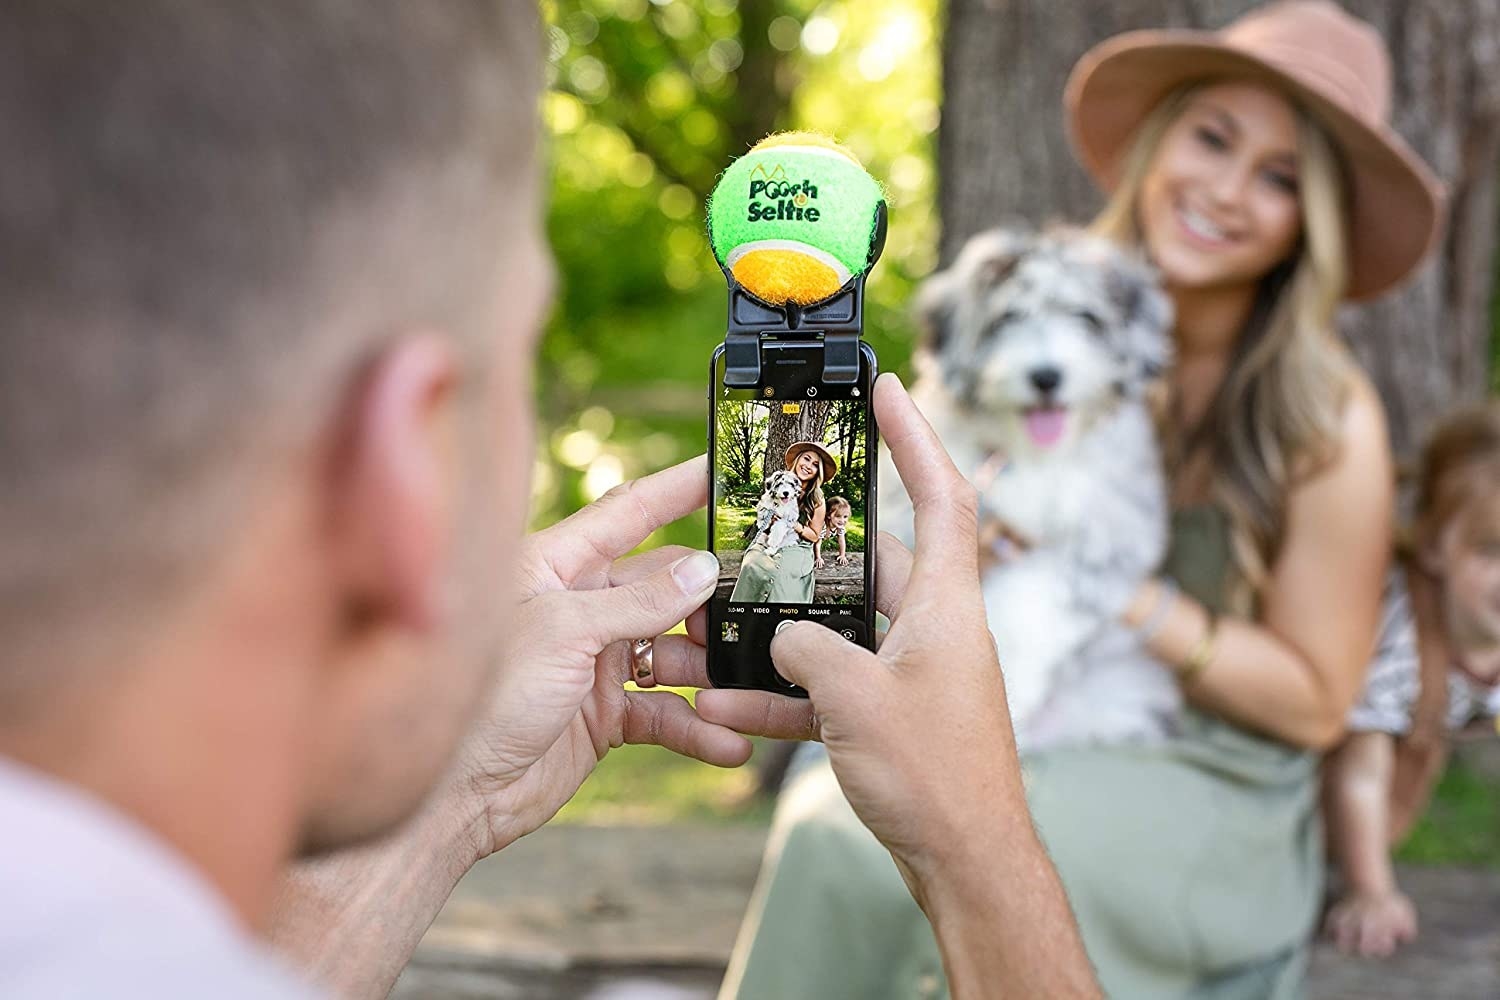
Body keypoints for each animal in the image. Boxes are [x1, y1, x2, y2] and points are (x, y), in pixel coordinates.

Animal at [876, 226, 1182, 749]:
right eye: (1008, 317)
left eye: (1086, 317)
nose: (1046, 376)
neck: (1027, 457)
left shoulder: (1108, 532)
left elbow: (1031, 602)